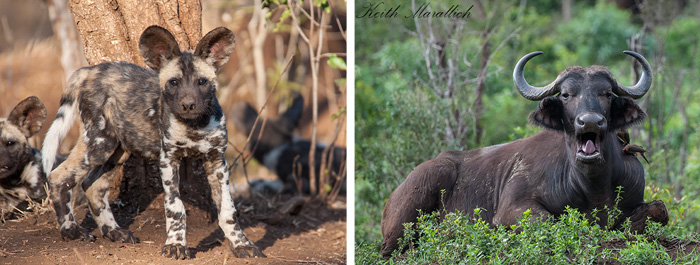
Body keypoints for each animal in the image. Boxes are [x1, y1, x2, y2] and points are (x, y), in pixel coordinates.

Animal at [41, 25, 266, 258]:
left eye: (202, 82)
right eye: (174, 83)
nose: (188, 105)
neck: (194, 126)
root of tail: (89, 70)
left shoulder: (217, 161)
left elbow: (228, 210)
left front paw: (241, 245)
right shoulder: (168, 159)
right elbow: (176, 208)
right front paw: (176, 245)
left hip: (117, 151)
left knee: (93, 186)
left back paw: (114, 232)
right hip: (99, 143)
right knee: (59, 176)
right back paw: (71, 231)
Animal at [380, 50, 668, 256]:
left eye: (606, 93)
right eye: (566, 95)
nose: (589, 122)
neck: (593, 187)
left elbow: (658, 210)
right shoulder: (511, 209)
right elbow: (549, 221)